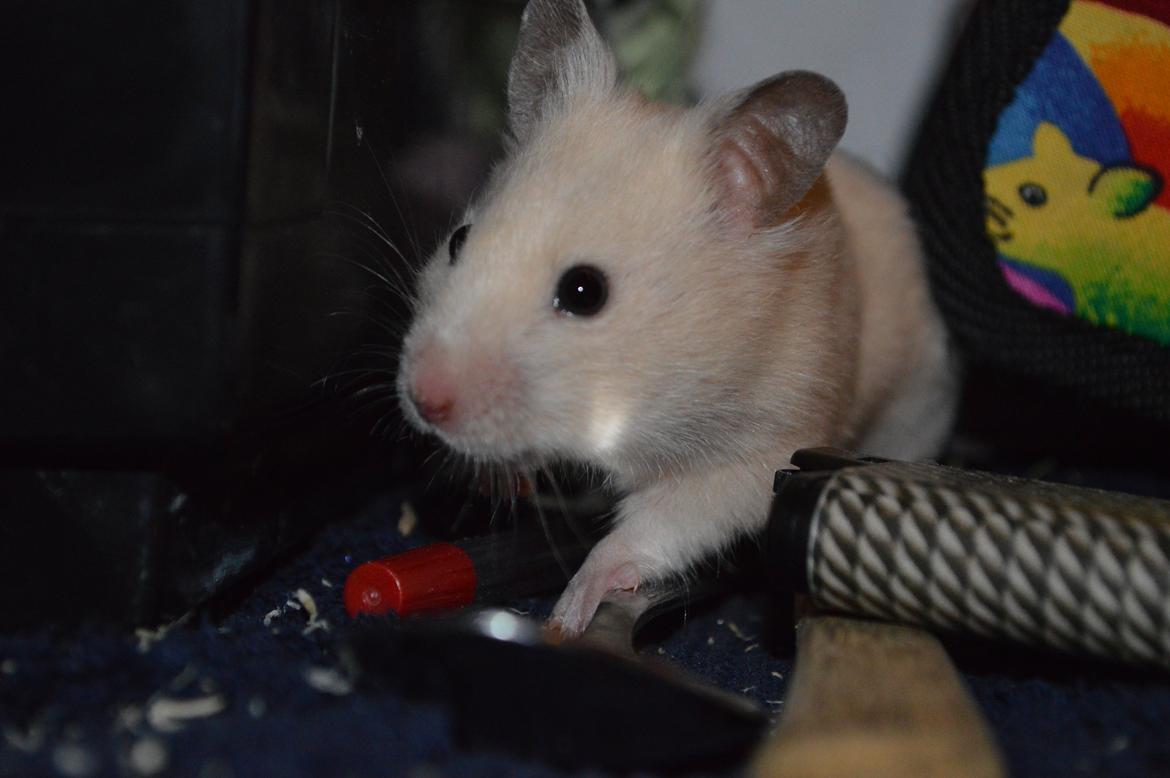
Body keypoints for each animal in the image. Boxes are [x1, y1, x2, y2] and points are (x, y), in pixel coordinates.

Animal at [396, 0, 956, 635]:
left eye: (585, 291)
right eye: (459, 240)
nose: (424, 399)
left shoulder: (760, 452)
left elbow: (655, 525)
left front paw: (568, 614)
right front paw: (502, 481)